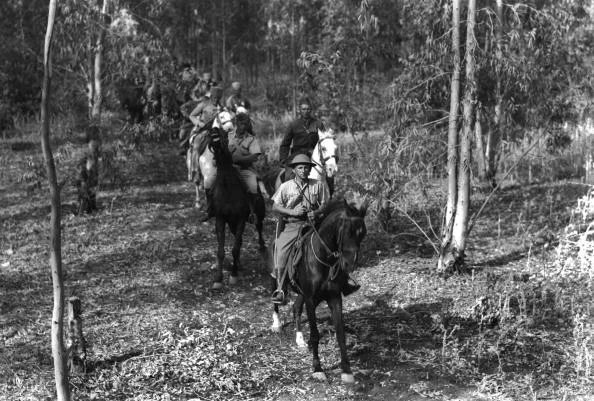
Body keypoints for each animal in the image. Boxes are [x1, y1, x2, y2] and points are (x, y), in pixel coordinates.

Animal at [270, 197, 370, 382]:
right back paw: (276, 323)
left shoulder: (334, 297)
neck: (324, 259)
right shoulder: (310, 300)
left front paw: (346, 370)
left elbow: (340, 334)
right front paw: (317, 369)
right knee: (276, 299)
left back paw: (300, 339)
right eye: (347, 231)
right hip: (275, 277)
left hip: (303, 293)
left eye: (363, 233)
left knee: (296, 308)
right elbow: (315, 334)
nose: (348, 265)